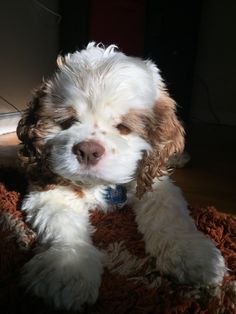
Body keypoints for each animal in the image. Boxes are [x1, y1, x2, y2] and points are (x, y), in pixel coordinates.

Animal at [1, 43, 227, 310]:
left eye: (123, 127)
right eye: (67, 122)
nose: (88, 151)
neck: (102, 185)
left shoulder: (156, 186)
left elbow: (171, 215)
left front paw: (193, 254)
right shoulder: (49, 189)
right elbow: (62, 224)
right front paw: (67, 269)